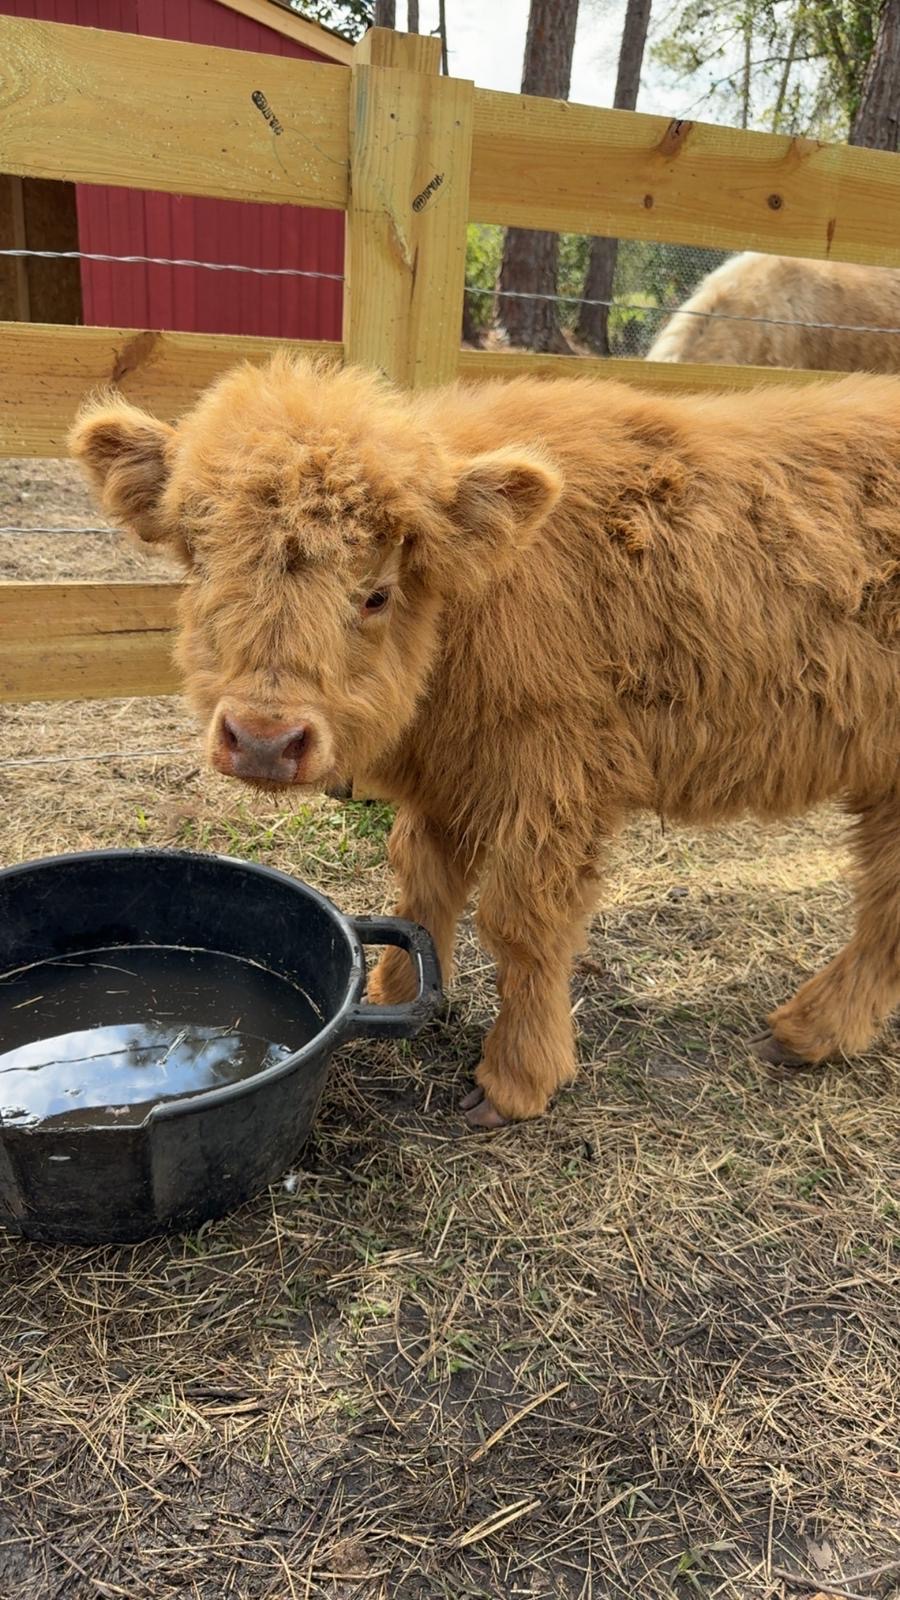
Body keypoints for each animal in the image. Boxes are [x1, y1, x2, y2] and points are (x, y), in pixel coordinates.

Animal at [71, 356, 900, 1125]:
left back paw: (806, 1029)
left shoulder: (555, 780)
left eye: (376, 594)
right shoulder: (449, 778)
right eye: (200, 566)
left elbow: (521, 922)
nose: (266, 738)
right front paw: (395, 987)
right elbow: (424, 882)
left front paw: (517, 1077)